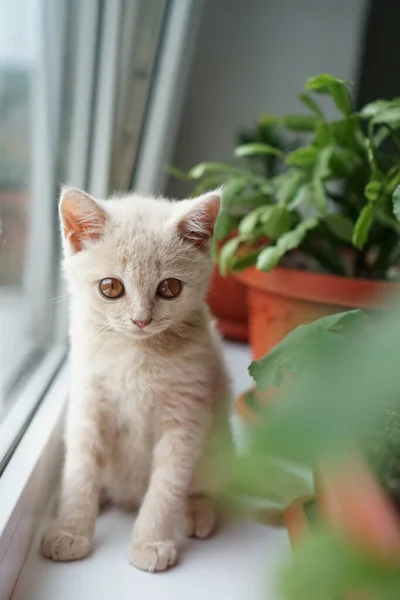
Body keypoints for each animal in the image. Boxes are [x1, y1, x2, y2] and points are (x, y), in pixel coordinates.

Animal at [40, 188, 231, 572]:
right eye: (110, 287)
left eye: (170, 287)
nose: (141, 319)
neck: (136, 354)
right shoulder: (89, 403)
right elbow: (80, 470)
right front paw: (70, 530)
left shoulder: (187, 417)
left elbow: (167, 484)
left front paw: (149, 543)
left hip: (218, 444)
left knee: (205, 483)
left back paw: (199, 511)